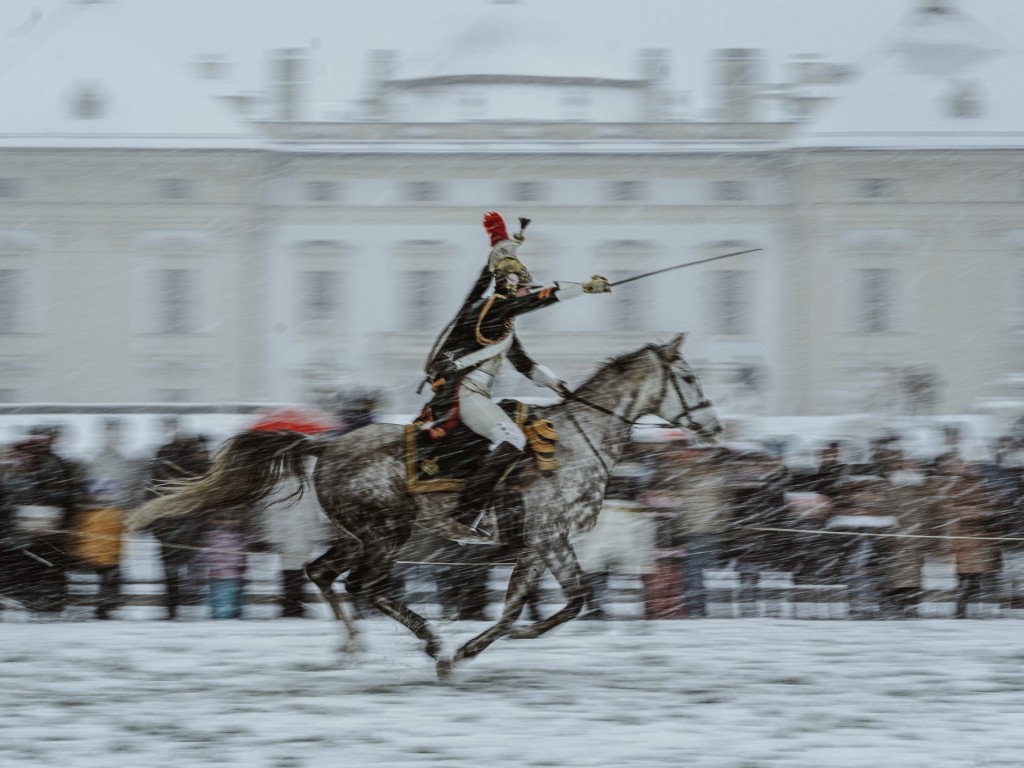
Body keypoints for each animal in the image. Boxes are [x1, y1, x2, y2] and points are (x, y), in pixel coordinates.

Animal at [128, 335, 720, 679]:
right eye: (689, 378)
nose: (713, 427)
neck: (579, 441)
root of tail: (326, 445)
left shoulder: (539, 546)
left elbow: (530, 607)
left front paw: (489, 644)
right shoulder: (548, 539)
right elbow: (557, 604)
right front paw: (465, 652)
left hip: (364, 537)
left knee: (322, 574)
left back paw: (355, 646)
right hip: (386, 537)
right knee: (361, 586)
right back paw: (430, 642)